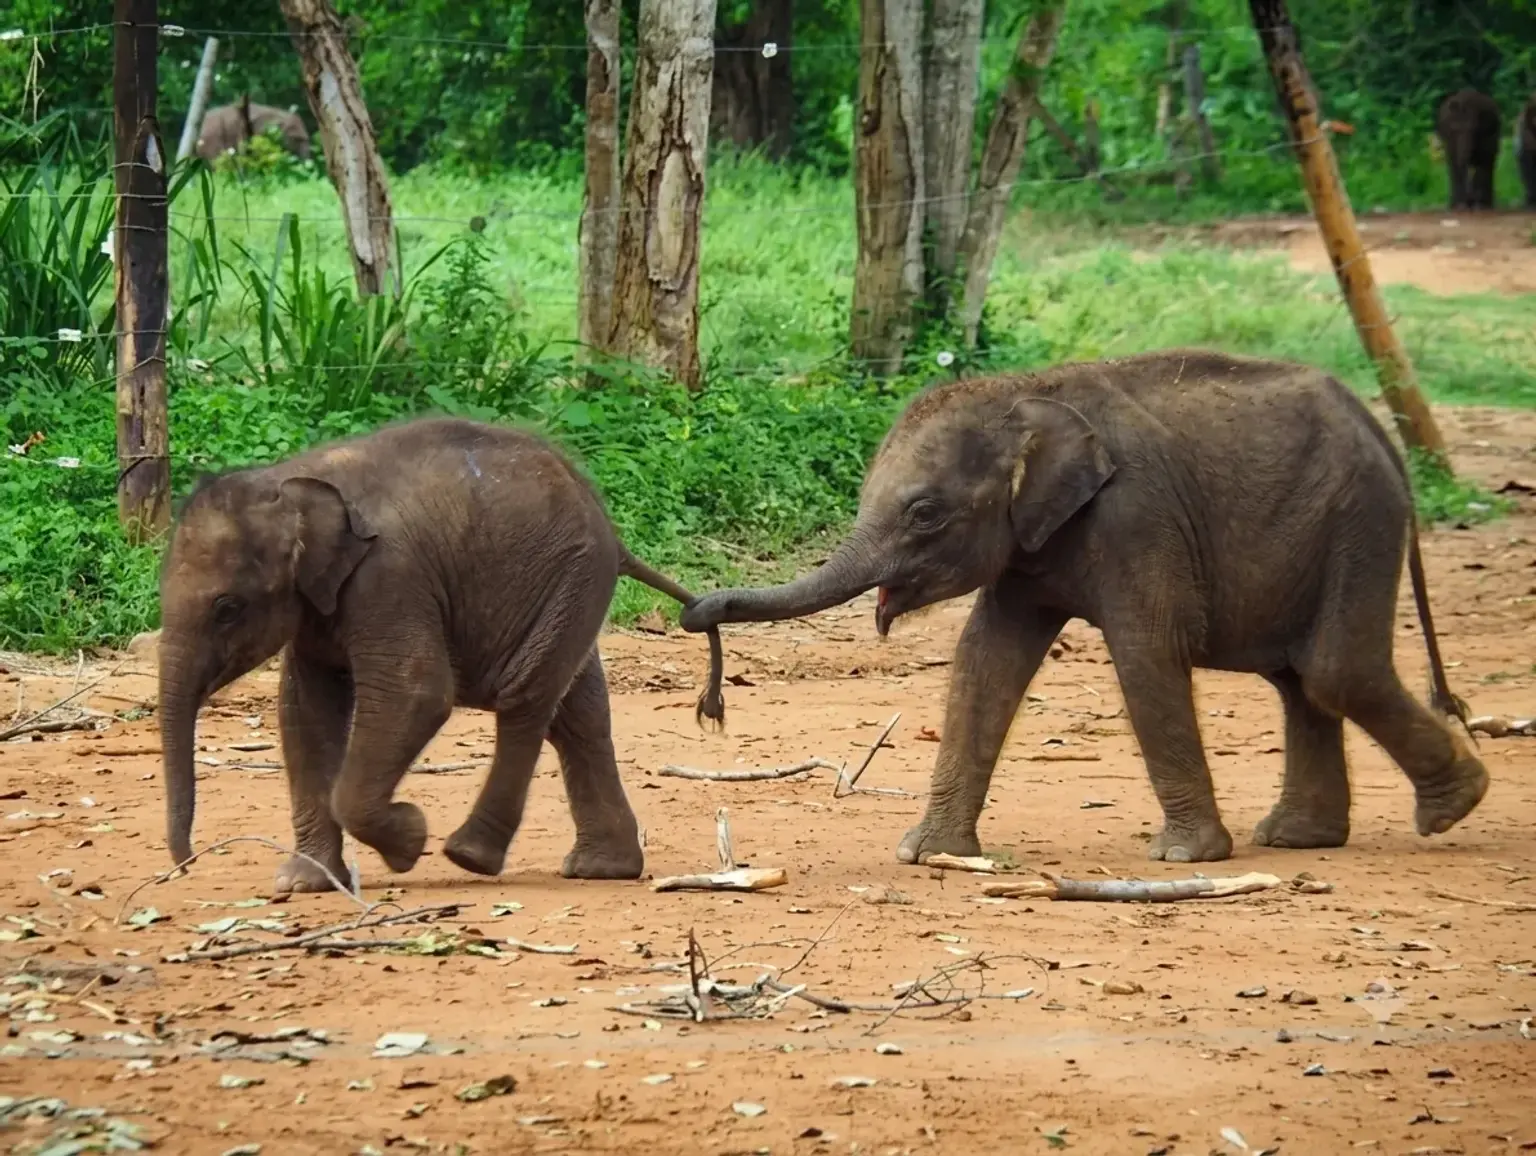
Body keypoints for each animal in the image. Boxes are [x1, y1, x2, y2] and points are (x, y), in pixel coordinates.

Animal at [158, 417, 725, 894]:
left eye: (227, 609)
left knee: (525, 697)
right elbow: (306, 713)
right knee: (578, 714)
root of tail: (612, 530)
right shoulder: (318, 604)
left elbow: (416, 693)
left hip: (571, 578)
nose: (187, 865)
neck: (289, 480)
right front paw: (304, 884)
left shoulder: (389, 578)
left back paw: (470, 855)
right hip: (569, 592)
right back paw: (602, 869)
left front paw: (408, 843)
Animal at [681, 349, 1489, 866]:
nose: (694, 615)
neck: (1023, 394)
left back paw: (1453, 807)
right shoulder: (1030, 546)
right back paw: (1300, 837)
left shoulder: (1137, 519)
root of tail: (1383, 432)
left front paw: (1183, 857)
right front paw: (927, 854)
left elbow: (1147, 650)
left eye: (924, 514)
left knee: (1333, 670)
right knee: (1301, 680)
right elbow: (985, 659)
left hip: (1359, 519)